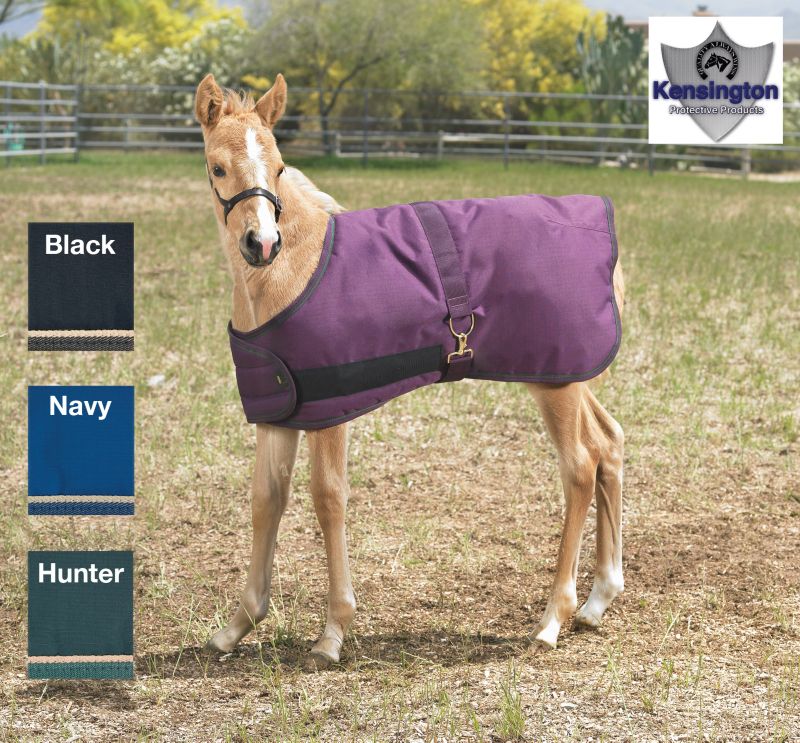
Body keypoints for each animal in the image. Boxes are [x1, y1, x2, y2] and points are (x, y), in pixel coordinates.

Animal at [194, 73, 626, 670]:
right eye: (218, 167)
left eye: (279, 167)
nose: (262, 243)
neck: (292, 272)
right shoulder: (277, 412)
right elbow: (266, 500)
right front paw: (237, 626)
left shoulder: (330, 409)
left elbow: (328, 498)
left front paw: (332, 633)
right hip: (572, 374)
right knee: (609, 444)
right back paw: (598, 599)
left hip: (556, 383)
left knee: (581, 467)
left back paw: (552, 619)